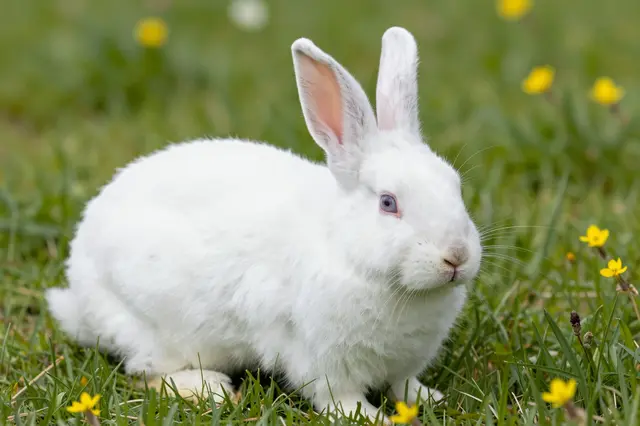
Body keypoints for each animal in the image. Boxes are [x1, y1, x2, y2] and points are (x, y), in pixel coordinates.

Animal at [46, 26, 482, 423]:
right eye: (388, 203)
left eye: (456, 186)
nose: (456, 257)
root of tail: (77, 292)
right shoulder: (322, 360)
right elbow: (340, 399)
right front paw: (375, 418)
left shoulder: (403, 364)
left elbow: (403, 386)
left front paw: (429, 399)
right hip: (152, 329)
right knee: (145, 372)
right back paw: (212, 389)